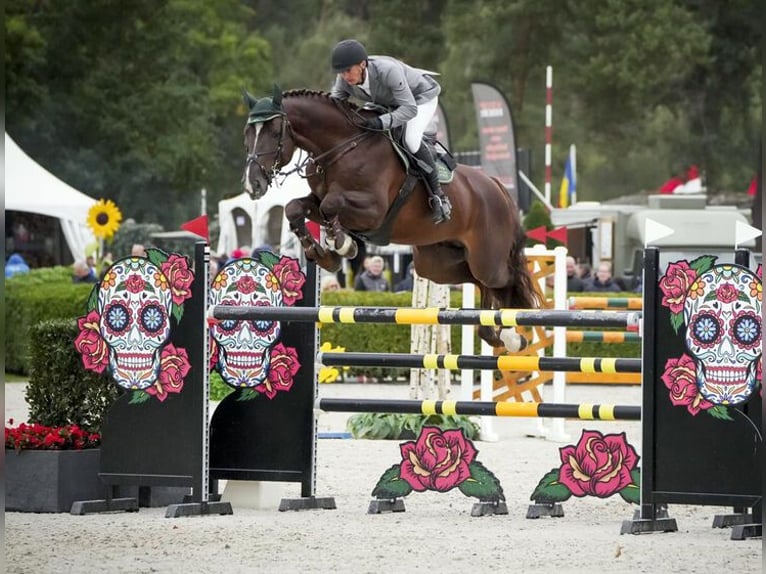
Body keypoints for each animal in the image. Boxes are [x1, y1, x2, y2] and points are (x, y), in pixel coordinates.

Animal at [241, 86, 541, 352]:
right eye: (247, 133)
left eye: (273, 131)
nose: (252, 184)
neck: (341, 148)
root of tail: (496, 185)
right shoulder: (315, 201)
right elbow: (295, 208)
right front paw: (324, 253)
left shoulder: (373, 211)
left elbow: (331, 205)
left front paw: (341, 244)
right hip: (437, 263)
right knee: (480, 282)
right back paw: (491, 332)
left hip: (486, 258)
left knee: (505, 280)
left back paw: (511, 334)